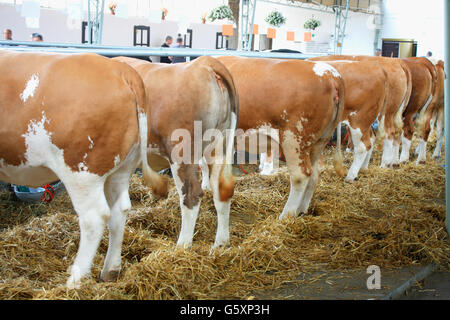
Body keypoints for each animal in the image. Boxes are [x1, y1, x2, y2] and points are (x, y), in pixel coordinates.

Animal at [0, 50, 167, 288]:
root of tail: (123, 70)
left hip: (82, 170)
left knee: (94, 217)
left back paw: (74, 280)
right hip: (122, 168)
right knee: (120, 210)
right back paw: (109, 271)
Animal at [113, 56, 239, 249]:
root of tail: (205, 63)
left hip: (182, 153)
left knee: (191, 193)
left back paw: (182, 245)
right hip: (219, 146)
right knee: (222, 190)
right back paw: (220, 244)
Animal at [214, 56, 344, 219]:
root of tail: (331, 75)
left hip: (293, 139)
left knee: (301, 175)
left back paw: (286, 215)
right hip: (319, 141)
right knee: (315, 173)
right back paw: (301, 210)